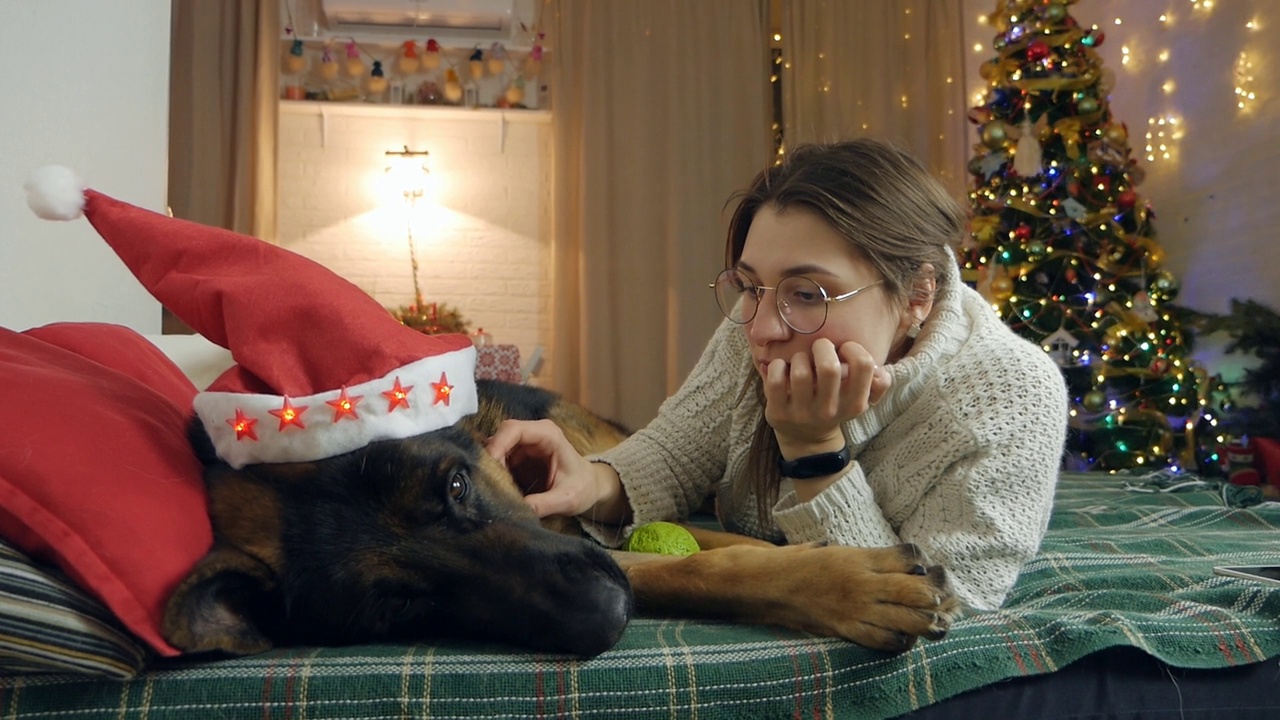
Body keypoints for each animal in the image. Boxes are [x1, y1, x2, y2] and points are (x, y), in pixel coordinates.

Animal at [162, 381, 952, 655]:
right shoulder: (611, 557)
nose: (605, 617)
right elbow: (709, 569)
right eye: (395, 609)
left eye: (455, 487)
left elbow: (718, 546)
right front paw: (847, 585)